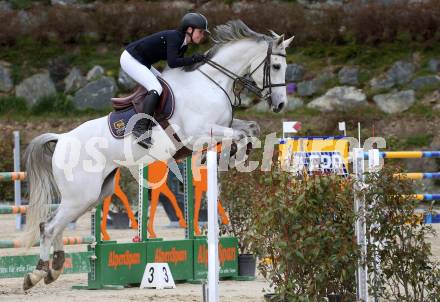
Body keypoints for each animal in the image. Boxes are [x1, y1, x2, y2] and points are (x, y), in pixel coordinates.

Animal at [20, 20, 292, 290]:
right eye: (276, 66)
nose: (280, 105)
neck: (212, 83)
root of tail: (62, 138)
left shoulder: (224, 124)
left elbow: (252, 129)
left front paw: (239, 153)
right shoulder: (198, 133)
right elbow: (237, 135)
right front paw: (231, 154)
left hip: (94, 194)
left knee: (55, 225)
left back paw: (53, 269)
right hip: (80, 195)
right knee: (48, 227)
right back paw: (36, 274)